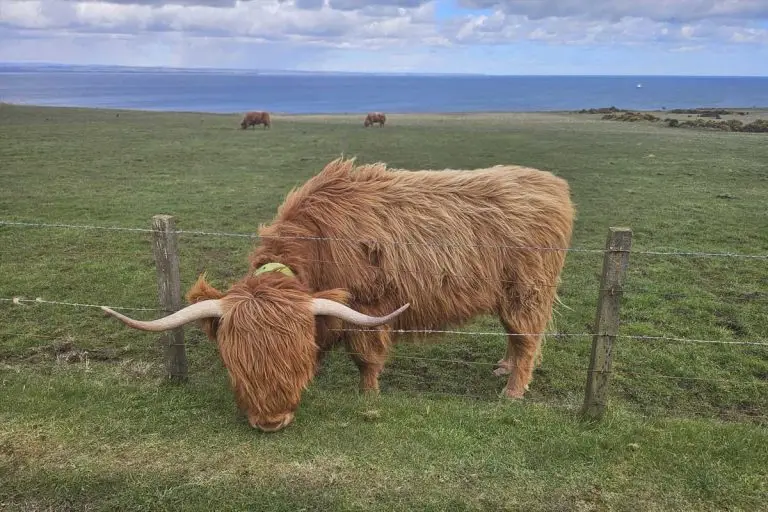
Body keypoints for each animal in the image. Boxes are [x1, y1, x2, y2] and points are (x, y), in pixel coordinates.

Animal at [102, 157, 575, 432]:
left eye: (292, 358)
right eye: (233, 362)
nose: (270, 422)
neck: (316, 243)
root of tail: (550, 182)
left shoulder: (369, 307)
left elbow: (366, 357)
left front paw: (369, 395)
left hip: (527, 292)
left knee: (526, 339)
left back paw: (512, 392)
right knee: (516, 338)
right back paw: (503, 368)